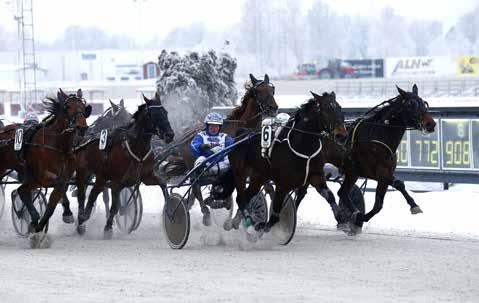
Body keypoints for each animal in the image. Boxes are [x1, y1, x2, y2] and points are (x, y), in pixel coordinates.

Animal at [0, 89, 91, 247]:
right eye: (68, 107)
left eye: (83, 106)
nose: (82, 127)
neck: (58, 145)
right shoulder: (45, 177)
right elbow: (59, 186)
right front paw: (67, 213)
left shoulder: (62, 177)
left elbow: (51, 207)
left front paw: (38, 232)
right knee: (21, 190)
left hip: (30, 177)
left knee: (22, 190)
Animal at [77, 93, 176, 240]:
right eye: (153, 114)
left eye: (165, 112)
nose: (170, 135)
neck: (136, 148)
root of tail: (85, 140)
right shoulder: (116, 182)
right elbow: (114, 206)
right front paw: (107, 228)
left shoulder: (147, 177)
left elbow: (163, 184)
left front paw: (170, 211)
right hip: (90, 174)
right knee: (86, 194)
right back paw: (81, 219)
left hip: (100, 177)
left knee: (93, 193)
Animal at [172, 73, 278, 226]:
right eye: (258, 91)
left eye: (272, 89)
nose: (273, 108)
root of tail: (186, 133)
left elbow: (267, 187)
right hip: (192, 165)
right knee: (196, 187)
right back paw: (205, 213)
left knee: (195, 189)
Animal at [229, 91, 348, 239]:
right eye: (327, 108)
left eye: (339, 107)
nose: (342, 135)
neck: (303, 146)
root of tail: (241, 134)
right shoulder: (283, 184)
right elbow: (275, 214)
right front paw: (263, 226)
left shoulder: (316, 176)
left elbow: (330, 196)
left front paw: (343, 220)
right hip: (240, 173)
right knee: (241, 199)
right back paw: (249, 223)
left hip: (259, 176)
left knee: (247, 195)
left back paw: (235, 222)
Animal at [296, 85, 438, 235]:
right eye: (411, 104)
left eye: (424, 103)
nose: (431, 124)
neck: (378, 137)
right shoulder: (378, 173)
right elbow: (399, 184)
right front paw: (414, 205)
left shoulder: (383, 175)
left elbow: (378, 205)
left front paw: (359, 218)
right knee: (302, 194)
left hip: (351, 173)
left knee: (342, 193)